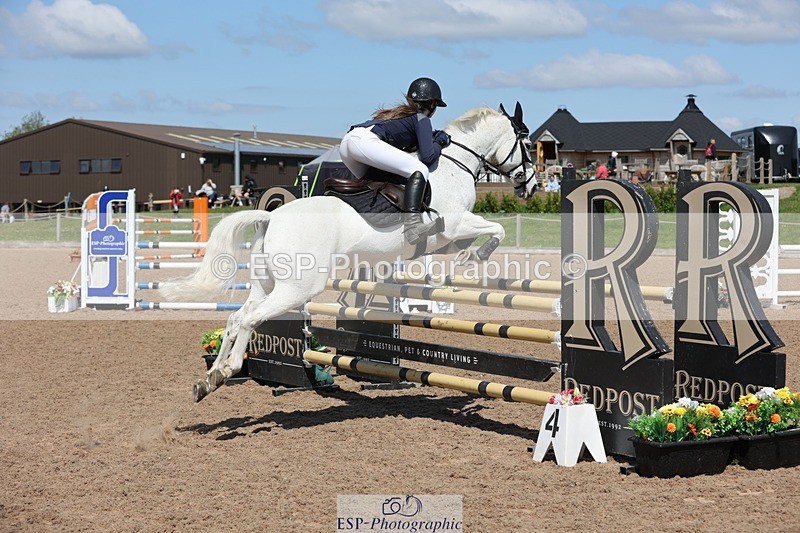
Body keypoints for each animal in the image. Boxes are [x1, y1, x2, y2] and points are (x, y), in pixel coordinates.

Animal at [165, 103, 536, 402]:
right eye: (529, 145)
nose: (531, 186)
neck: (453, 166)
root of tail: (272, 216)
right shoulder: (453, 226)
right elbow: (496, 229)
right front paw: (475, 257)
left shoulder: (447, 238)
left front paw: (469, 257)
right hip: (298, 288)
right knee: (250, 318)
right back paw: (228, 369)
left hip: (266, 284)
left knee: (235, 318)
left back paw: (210, 379)